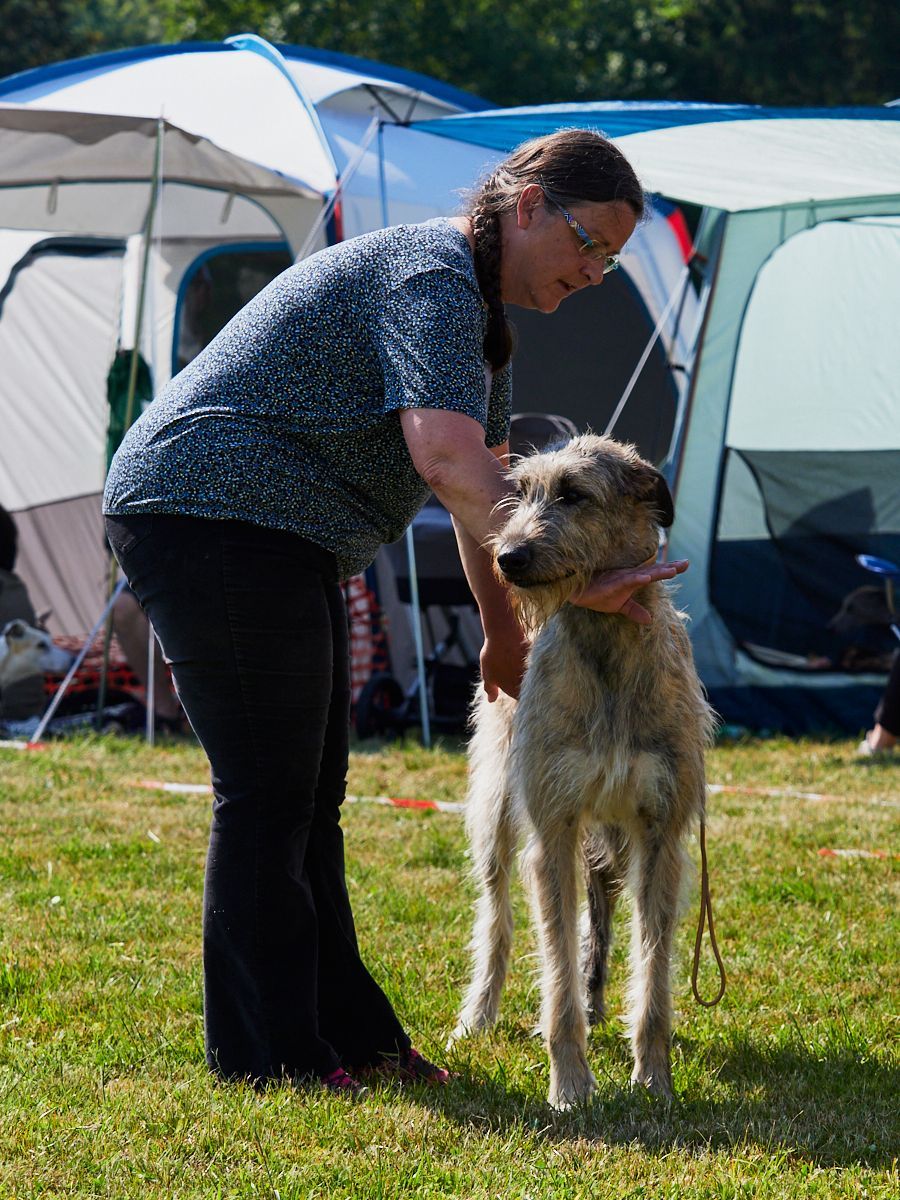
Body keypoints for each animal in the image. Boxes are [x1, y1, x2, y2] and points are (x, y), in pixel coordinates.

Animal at [450, 434, 715, 1109]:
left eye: (574, 493)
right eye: (522, 492)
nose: (507, 558)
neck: (608, 644)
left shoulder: (660, 834)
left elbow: (653, 972)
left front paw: (653, 1079)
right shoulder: (553, 832)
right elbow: (556, 968)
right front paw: (570, 1083)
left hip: (614, 839)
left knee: (599, 912)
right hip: (497, 812)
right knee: (497, 918)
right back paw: (477, 1017)